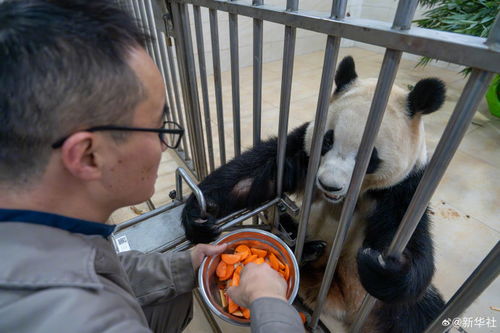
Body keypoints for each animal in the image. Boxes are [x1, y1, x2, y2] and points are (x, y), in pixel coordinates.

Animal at [183, 55, 446, 330]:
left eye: (369, 157)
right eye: (328, 141)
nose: (329, 185)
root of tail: (332, 299)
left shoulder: (404, 187)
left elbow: (407, 237)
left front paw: (382, 266)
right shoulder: (306, 151)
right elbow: (256, 173)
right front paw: (199, 213)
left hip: (382, 305)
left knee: (417, 314)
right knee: (280, 223)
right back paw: (307, 247)